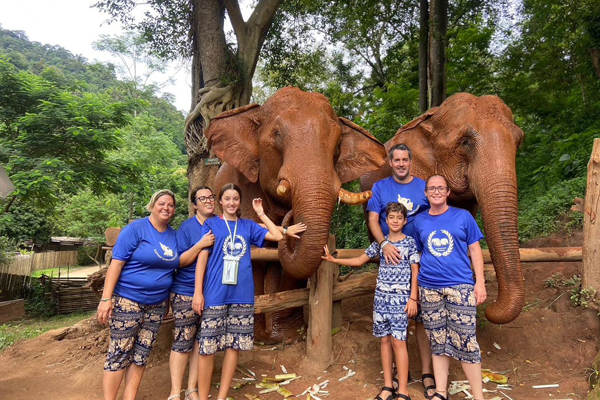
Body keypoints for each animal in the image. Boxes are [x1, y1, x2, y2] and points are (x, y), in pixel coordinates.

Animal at [204, 86, 386, 340]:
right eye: (277, 134)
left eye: (339, 142)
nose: (288, 219)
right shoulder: (245, 187)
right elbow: (254, 255)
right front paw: (257, 337)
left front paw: (288, 336)